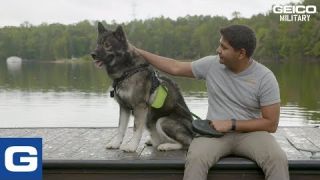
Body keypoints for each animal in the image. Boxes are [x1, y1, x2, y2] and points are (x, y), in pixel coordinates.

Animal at [91, 22, 194, 152]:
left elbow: (136, 129)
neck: (127, 71)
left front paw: (132, 146)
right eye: (97, 43)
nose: (92, 54)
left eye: (107, 45)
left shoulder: (140, 107)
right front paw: (115, 143)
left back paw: (166, 146)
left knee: (187, 143)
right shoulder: (124, 107)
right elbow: (120, 129)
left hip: (163, 121)